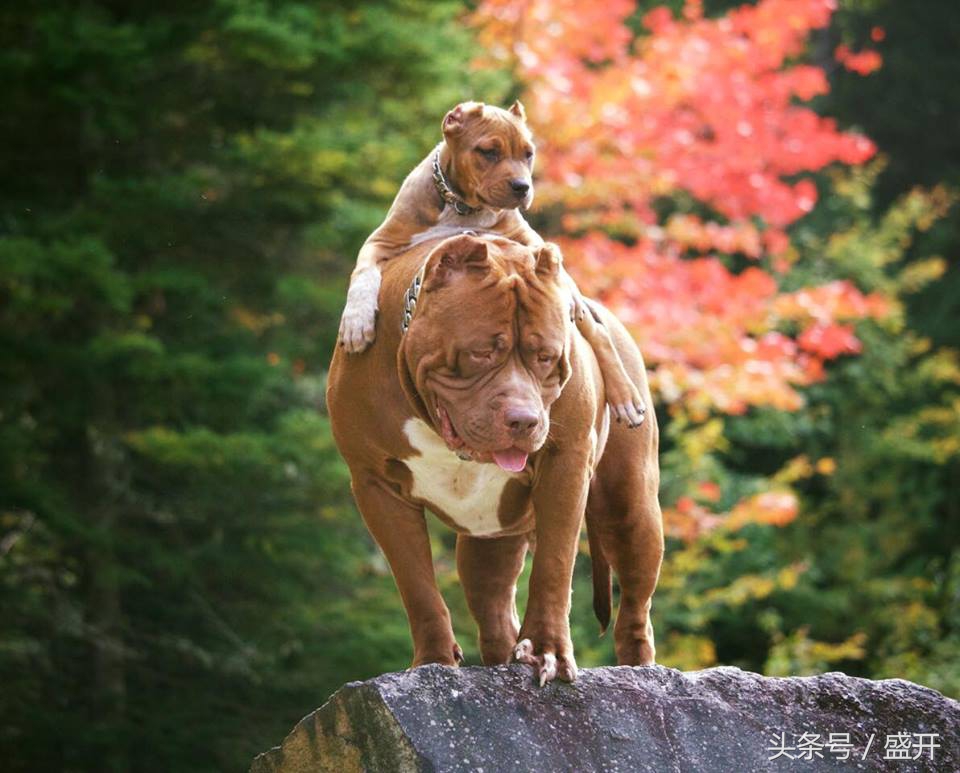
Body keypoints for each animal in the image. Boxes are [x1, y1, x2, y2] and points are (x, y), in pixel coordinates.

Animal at [326, 232, 664, 684]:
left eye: (545, 357)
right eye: (481, 352)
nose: (524, 420)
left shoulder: (566, 463)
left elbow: (554, 565)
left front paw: (547, 649)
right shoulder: (376, 485)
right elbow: (416, 584)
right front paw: (433, 660)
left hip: (630, 509)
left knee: (635, 608)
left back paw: (641, 673)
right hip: (488, 541)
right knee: (494, 608)